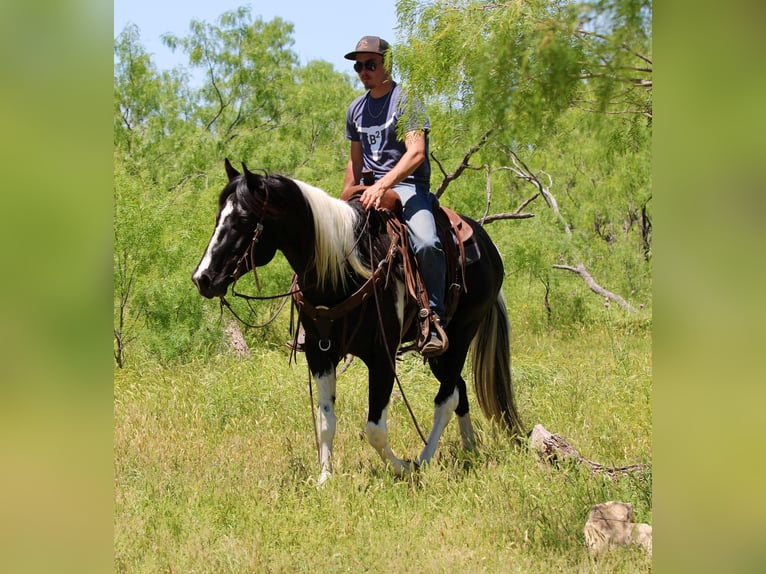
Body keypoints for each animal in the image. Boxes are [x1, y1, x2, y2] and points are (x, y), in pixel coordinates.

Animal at [194, 161, 528, 486]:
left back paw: (424, 459)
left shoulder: (382, 357)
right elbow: (325, 421)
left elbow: (375, 429)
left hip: (461, 335)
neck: (342, 269)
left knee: (446, 398)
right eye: (218, 217)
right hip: (440, 354)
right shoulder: (319, 353)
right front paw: (324, 480)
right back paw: (469, 449)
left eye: (243, 219)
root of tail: (487, 244)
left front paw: (403, 469)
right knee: (459, 390)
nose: (202, 278)